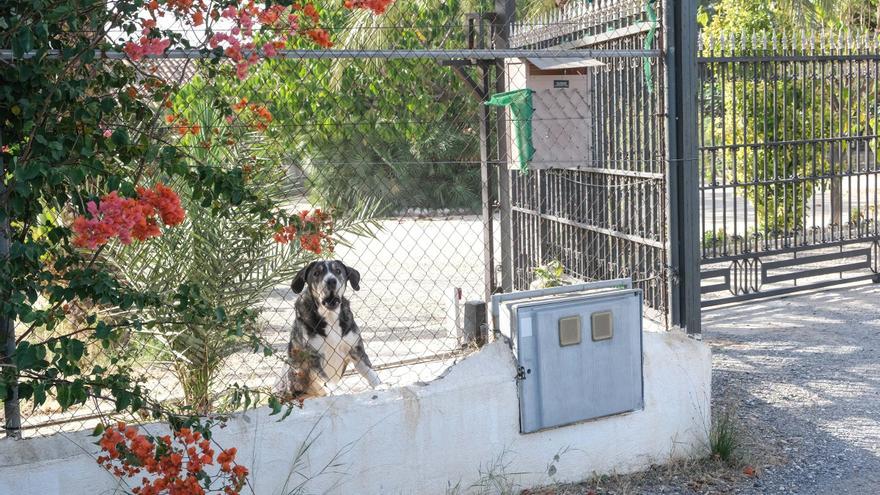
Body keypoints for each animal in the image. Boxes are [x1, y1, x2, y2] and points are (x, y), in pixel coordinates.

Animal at [278, 260, 382, 400]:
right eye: (316, 273)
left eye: (337, 271)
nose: (331, 281)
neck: (330, 317)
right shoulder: (314, 358)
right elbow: (326, 380)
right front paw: (339, 392)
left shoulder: (356, 350)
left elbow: (370, 371)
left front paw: (380, 385)